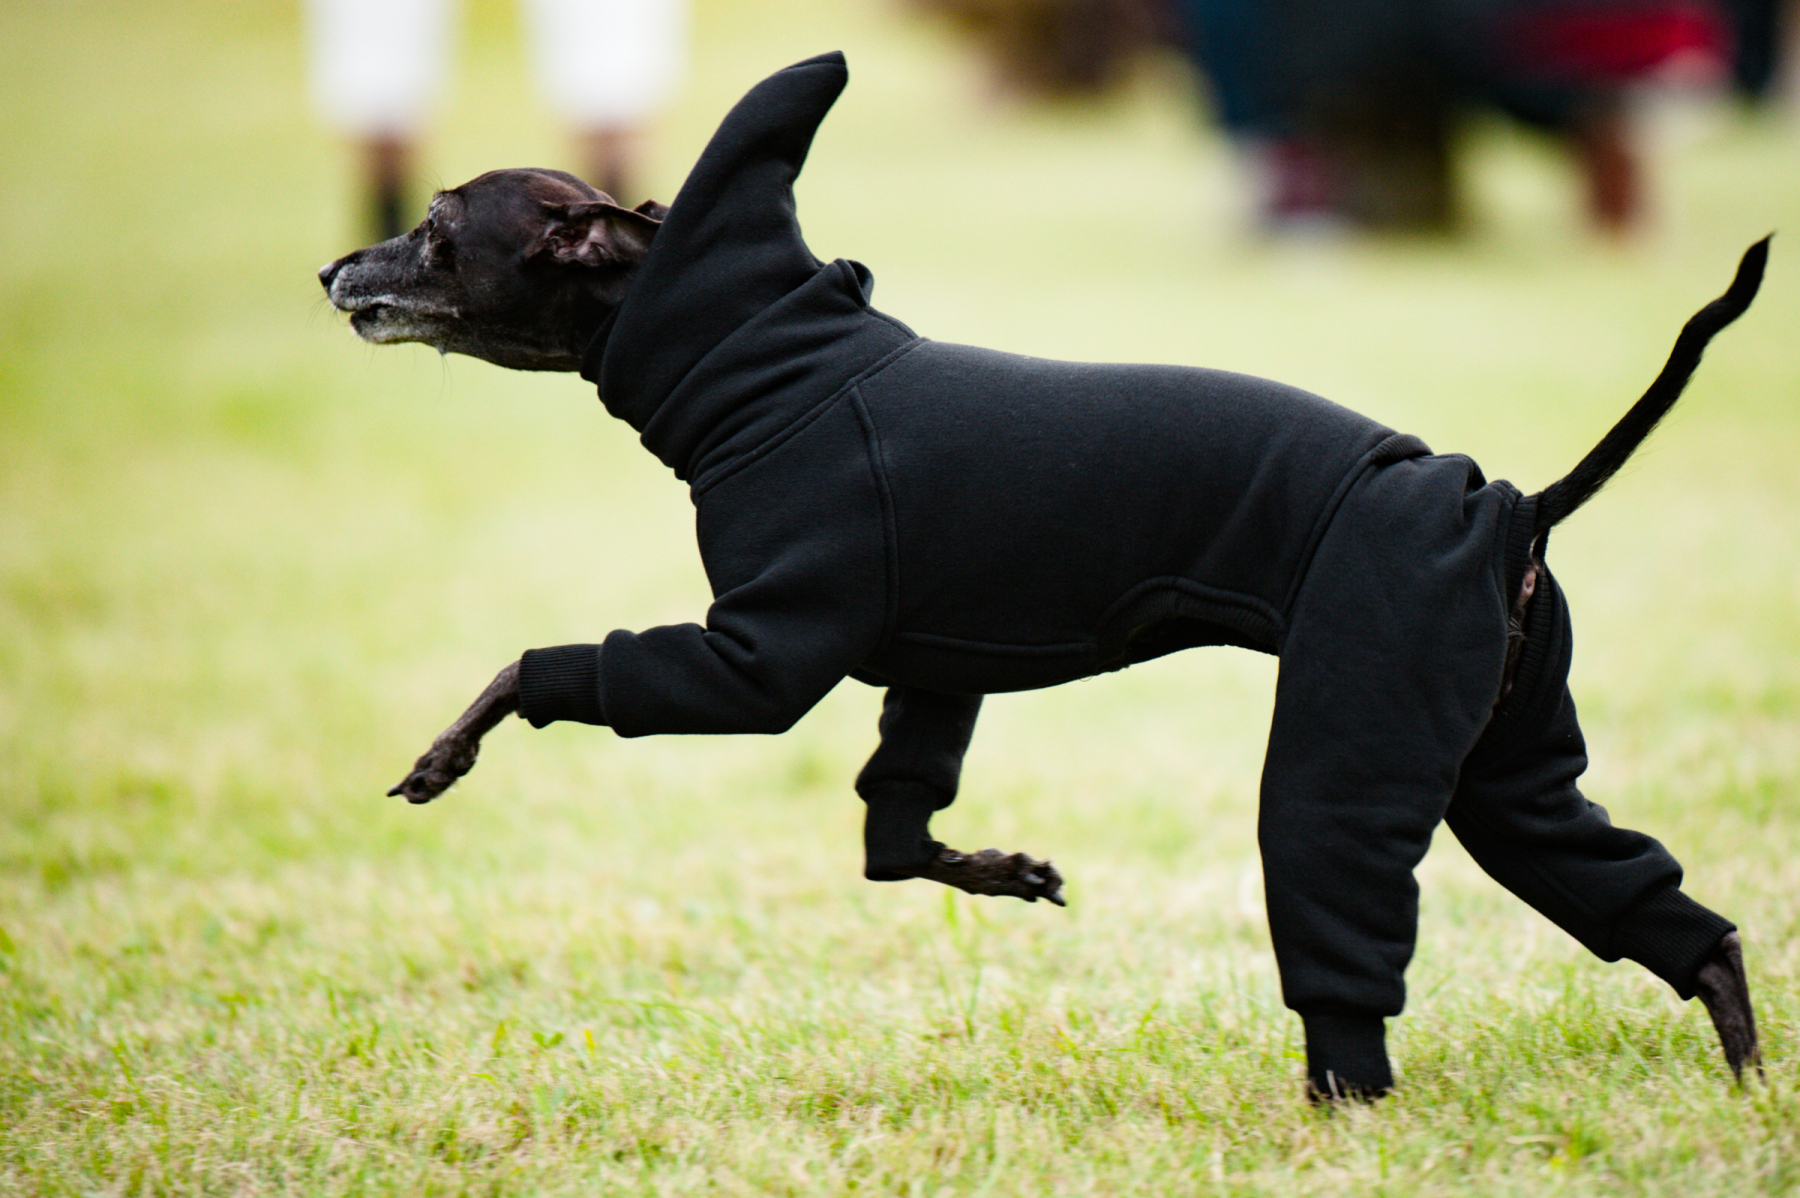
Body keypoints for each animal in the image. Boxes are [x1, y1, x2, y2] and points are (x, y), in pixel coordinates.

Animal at [320, 53, 1764, 1098]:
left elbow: (545, 665)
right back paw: (1746, 1075)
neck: (763, 369)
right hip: (1506, 763)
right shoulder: (932, 667)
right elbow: (895, 837)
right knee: (1674, 915)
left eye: (439, 231)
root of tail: (1510, 502)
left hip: (1356, 729)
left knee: (1347, 922)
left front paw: (444, 754)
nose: (332, 267)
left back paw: (1341, 1101)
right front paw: (1005, 871)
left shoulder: (759, 658)